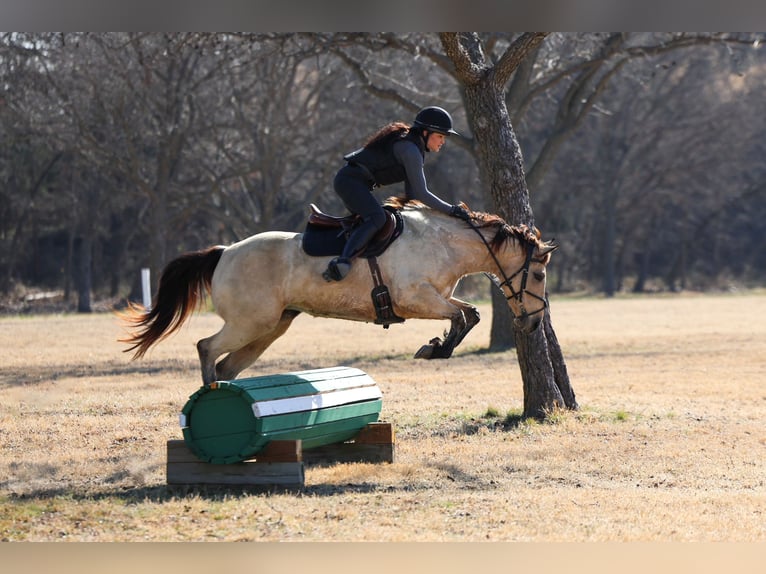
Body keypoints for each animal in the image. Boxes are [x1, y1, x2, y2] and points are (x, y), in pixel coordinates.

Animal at [120, 198, 557, 386]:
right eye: (538, 275)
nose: (534, 324)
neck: (443, 242)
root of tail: (224, 251)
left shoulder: (434, 297)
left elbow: (468, 314)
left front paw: (436, 346)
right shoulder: (415, 299)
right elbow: (462, 316)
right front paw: (434, 348)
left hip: (270, 327)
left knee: (228, 364)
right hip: (250, 323)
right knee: (206, 347)